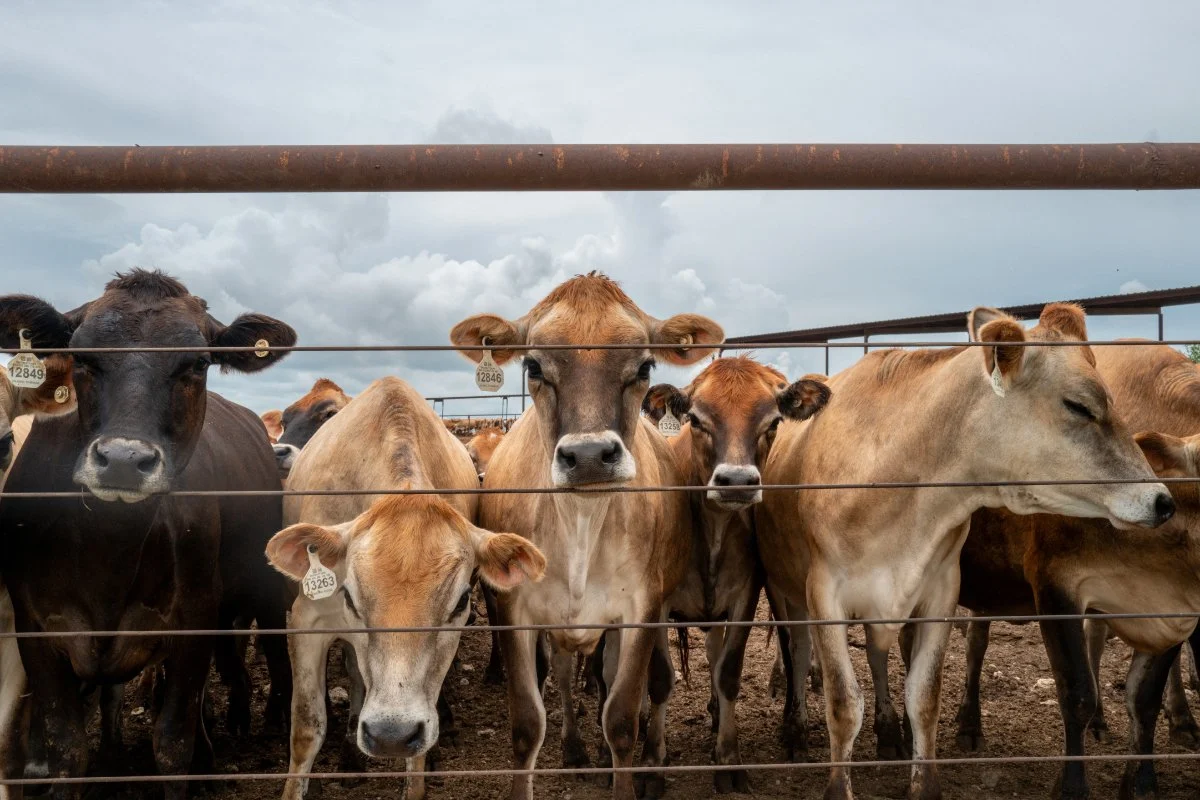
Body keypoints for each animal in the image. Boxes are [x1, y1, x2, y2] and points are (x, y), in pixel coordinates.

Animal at [0, 269, 296, 799]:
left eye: (197, 363)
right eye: (82, 356)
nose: (123, 459)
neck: (108, 554)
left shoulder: (193, 621)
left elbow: (172, 744)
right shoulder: (34, 631)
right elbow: (66, 750)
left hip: (262, 584)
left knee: (273, 650)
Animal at [276, 375, 492, 800]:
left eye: (461, 602)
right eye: (348, 595)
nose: (390, 734)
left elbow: (418, 752)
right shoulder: (306, 619)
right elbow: (307, 728)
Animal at [450, 271, 724, 800]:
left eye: (644, 366)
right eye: (533, 365)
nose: (592, 456)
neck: (580, 524)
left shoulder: (639, 611)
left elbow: (621, 719)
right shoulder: (515, 611)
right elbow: (526, 725)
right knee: (561, 675)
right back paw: (576, 749)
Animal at [640, 356, 830, 792]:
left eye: (773, 422)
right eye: (696, 419)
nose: (737, 482)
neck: (712, 530)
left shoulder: (745, 594)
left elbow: (728, 671)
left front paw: (728, 758)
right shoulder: (656, 601)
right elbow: (660, 678)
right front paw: (653, 764)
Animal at [757, 303, 1174, 800]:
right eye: (1079, 406)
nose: (1162, 500)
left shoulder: (940, 591)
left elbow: (923, 696)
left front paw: (924, 783)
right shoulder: (824, 594)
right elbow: (842, 703)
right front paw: (839, 788)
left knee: (877, 656)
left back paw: (889, 734)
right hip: (785, 592)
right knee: (799, 652)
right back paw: (796, 731)